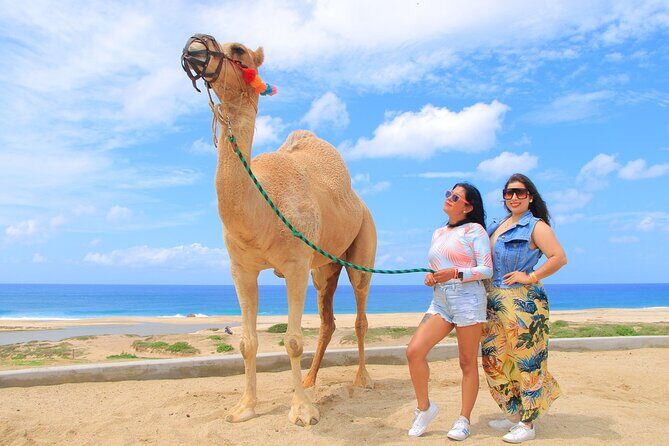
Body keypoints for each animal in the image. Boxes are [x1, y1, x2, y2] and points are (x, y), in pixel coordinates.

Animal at [181, 34, 377, 426]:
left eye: (238, 50)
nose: (195, 46)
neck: (263, 211)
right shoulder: (241, 268)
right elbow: (248, 342)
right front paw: (245, 407)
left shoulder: (296, 264)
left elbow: (293, 340)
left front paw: (302, 411)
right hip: (324, 267)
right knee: (328, 320)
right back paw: (312, 380)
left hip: (363, 243)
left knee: (361, 314)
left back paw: (361, 380)